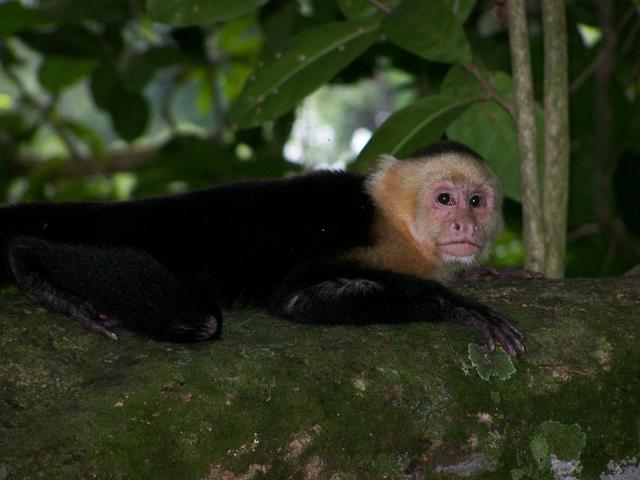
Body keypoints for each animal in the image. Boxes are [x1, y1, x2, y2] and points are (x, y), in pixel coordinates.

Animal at [0, 140, 524, 356]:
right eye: (444, 199)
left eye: (476, 201)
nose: (464, 223)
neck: (395, 225)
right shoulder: (368, 235)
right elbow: (299, 299)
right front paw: (459, 307)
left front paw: (490, 275)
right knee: (201, 320)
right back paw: (31, 265)